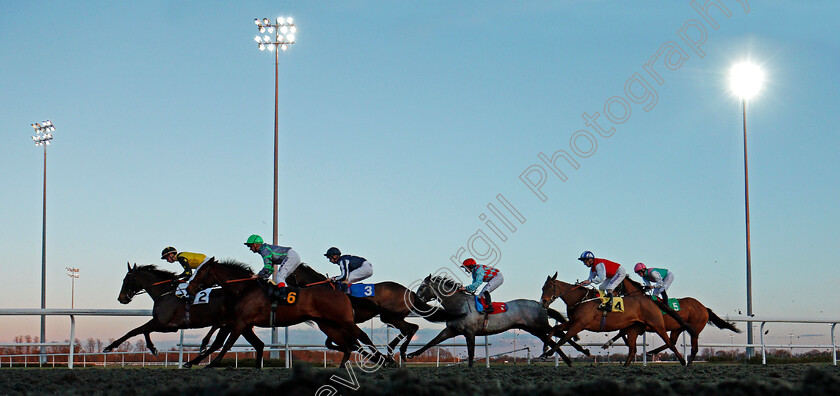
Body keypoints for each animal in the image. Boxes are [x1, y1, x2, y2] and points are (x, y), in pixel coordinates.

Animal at [185, 260, 382, 368]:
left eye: (200, 271)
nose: (188, 288)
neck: (245, 288)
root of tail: (341, 292)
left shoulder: (241, 322)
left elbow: (226, 343)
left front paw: (211, 363)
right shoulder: (241, 322)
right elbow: (227, 337)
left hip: (344, 321)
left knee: (361, 337)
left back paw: (384, 359)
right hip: (329, 325)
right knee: (349, 345)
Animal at [404, 274, 588, 366]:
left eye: (422, 287)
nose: (415, 300)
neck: (459, 305)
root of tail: (539, 304)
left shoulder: (470, 333)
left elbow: (471, 354)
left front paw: (470, 370)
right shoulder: (451, 330)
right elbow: (432, 342)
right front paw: (411, 354)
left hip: (539, 325)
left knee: (558, 333)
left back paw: (582, 351)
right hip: (533, 328)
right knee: (552, 337)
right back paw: (568, 361)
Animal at [540, 272, 684, 366]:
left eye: (549, 287)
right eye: (543, 288)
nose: (543, 302)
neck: (580, 300)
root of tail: (651, 300)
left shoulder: (580, 324)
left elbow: (564, 337)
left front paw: (549, 352)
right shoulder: (572, 322)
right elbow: (555, 328)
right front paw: (545, 349)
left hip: (657, 324)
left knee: (670, 343)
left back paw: (683, 361)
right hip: (634, 328)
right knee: (632, 349)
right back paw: (625, 367)